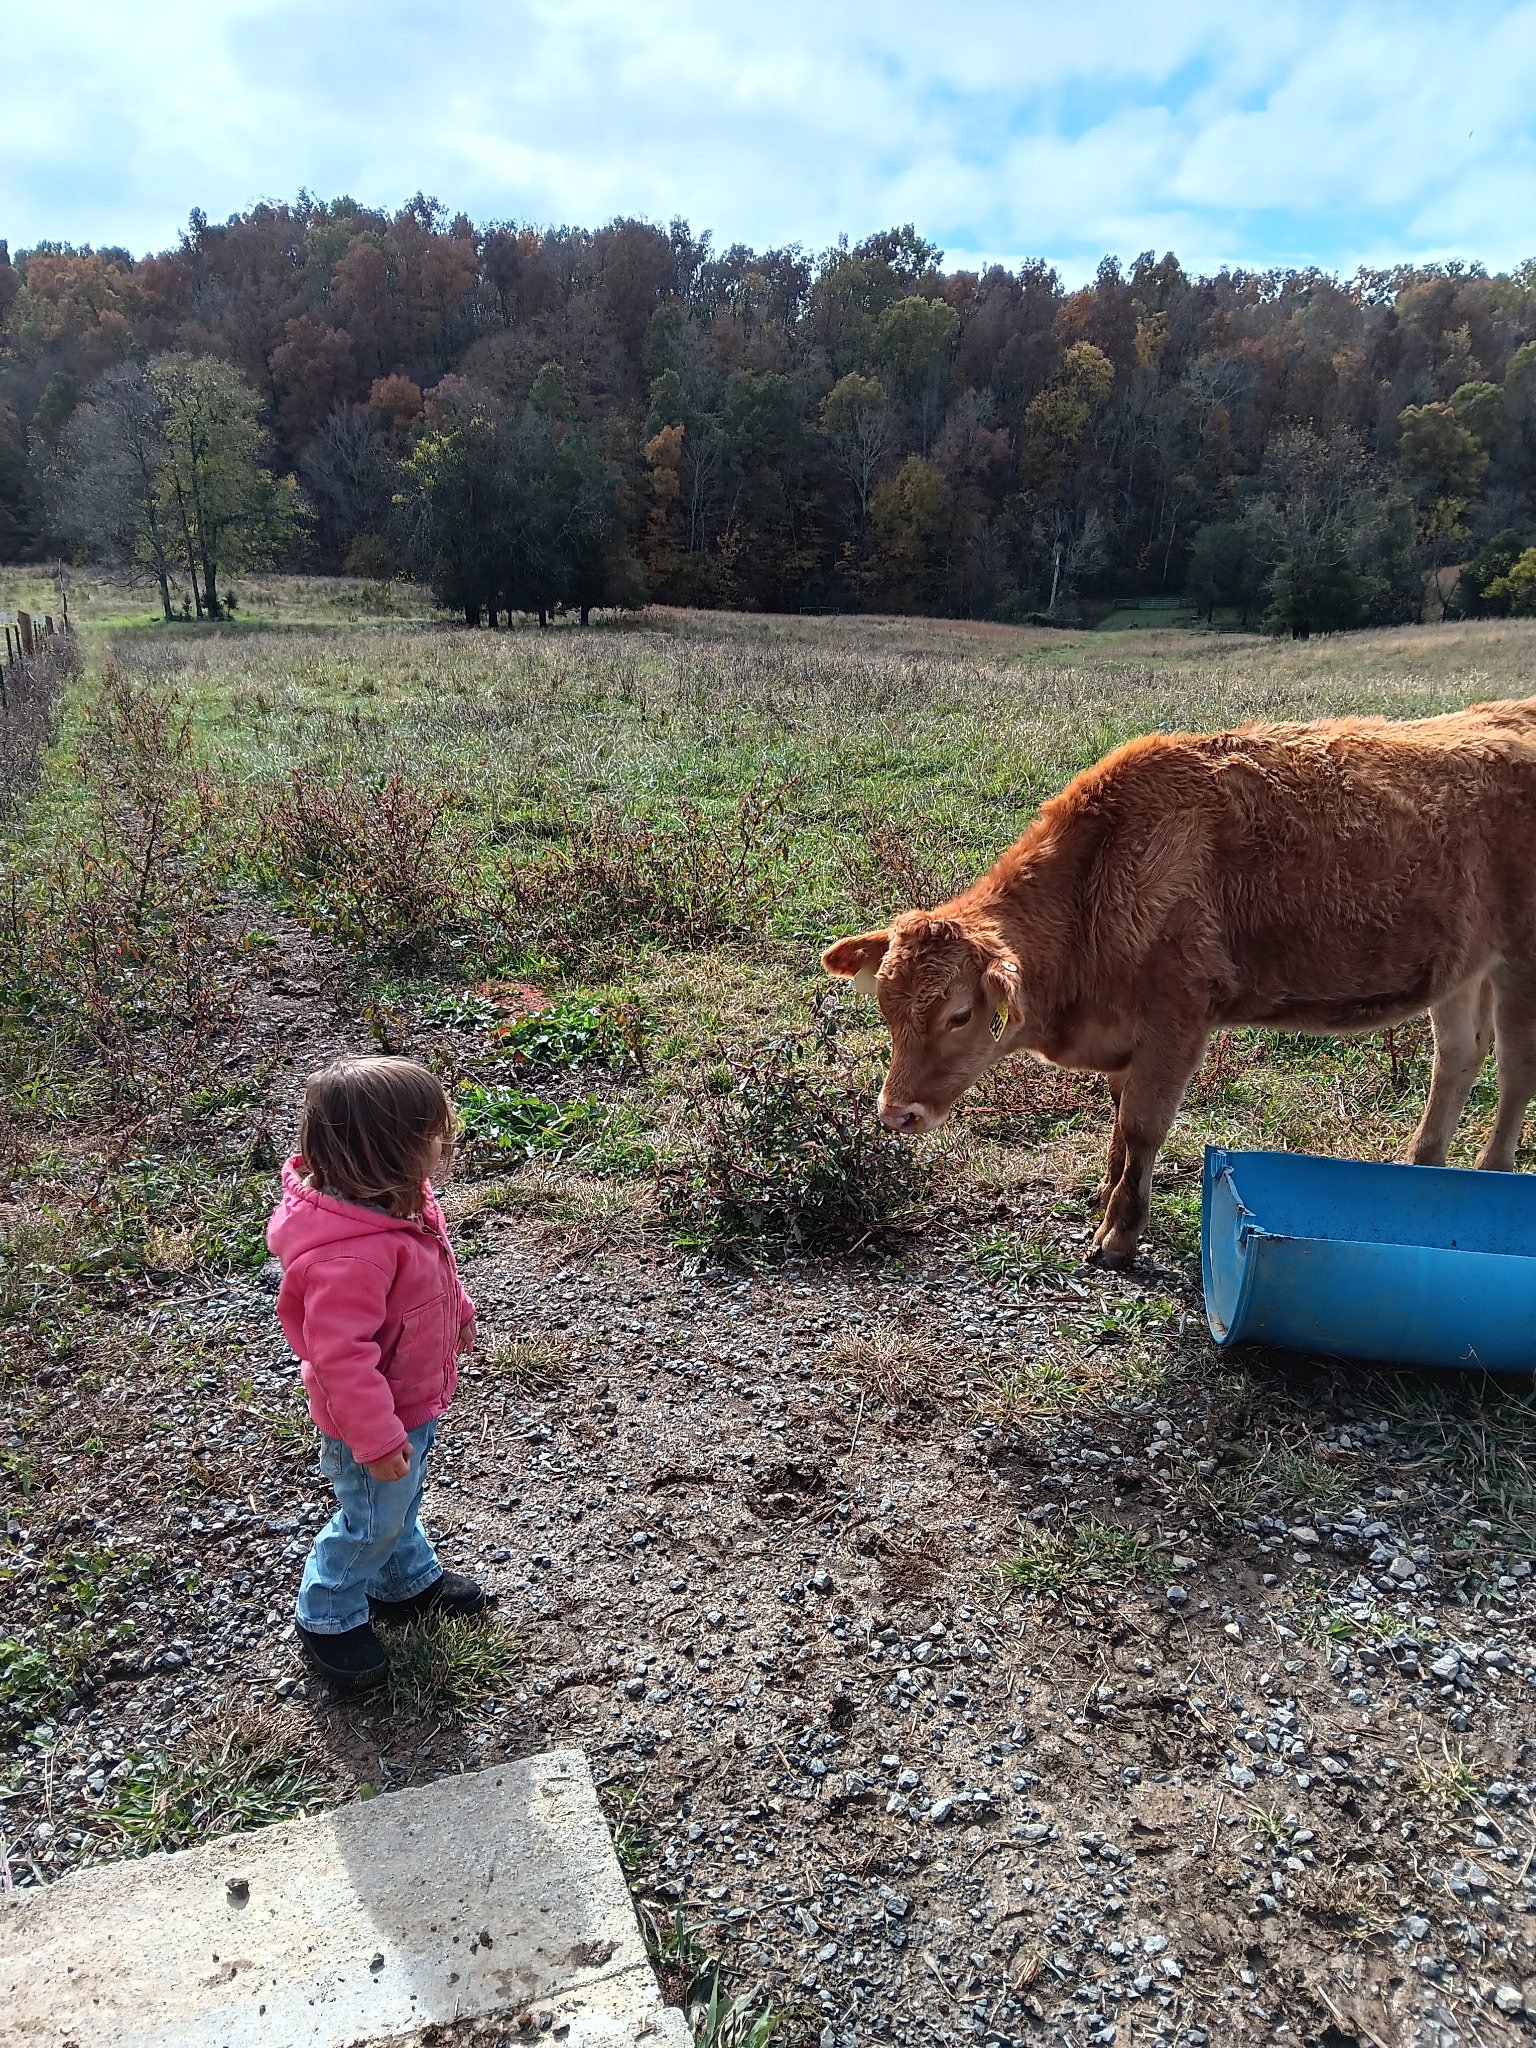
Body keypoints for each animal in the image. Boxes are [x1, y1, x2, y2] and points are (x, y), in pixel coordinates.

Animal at [822, 697, 1536, 1267]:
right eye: (886, 1009)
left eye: (960, 1014)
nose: (896, 1113)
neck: (1098, 879)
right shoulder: (1127, 1039)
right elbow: (1119, 1132)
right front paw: (1107, 1209)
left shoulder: (1177, 1021)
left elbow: (1142, 1130)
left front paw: (1117, 1239)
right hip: (1459, 970)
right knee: (1459, 1057)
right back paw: (1429, 1165)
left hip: (1520, 964)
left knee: (1515, 1071)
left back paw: (1493, 1173)